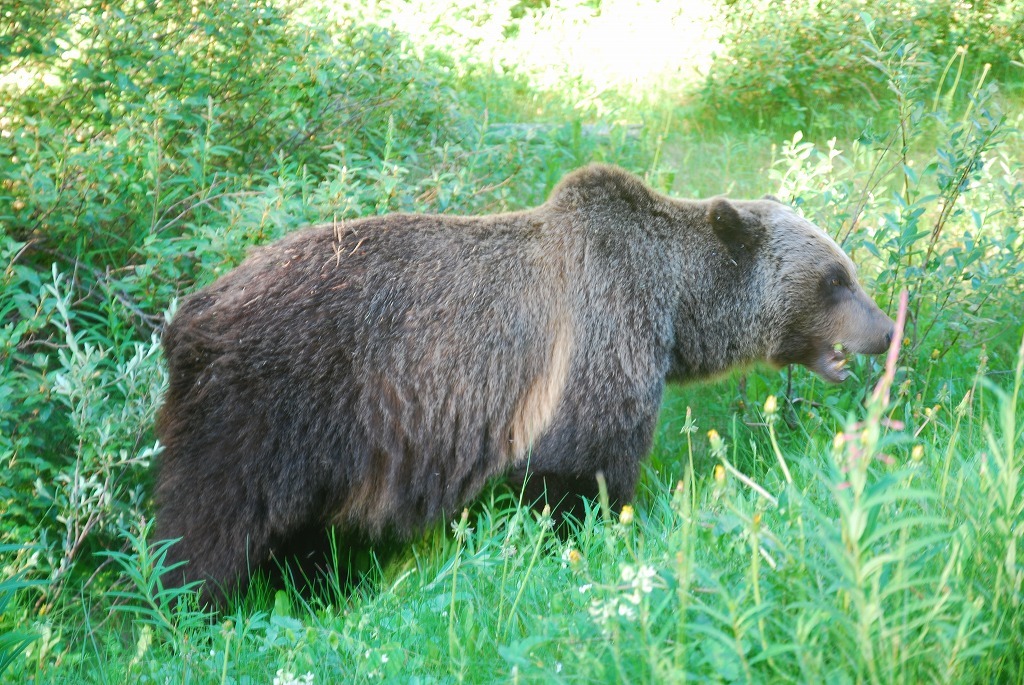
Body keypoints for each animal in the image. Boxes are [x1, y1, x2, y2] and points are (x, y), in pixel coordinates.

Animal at [153, 162, 897, 602]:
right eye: (835, 278)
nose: (887, 329)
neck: (673, 306)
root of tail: (184, 316)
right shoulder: (595, 335)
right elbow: (579, 467)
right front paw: (589, 536)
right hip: (271, 405)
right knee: (208, 522)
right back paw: (193, 603)